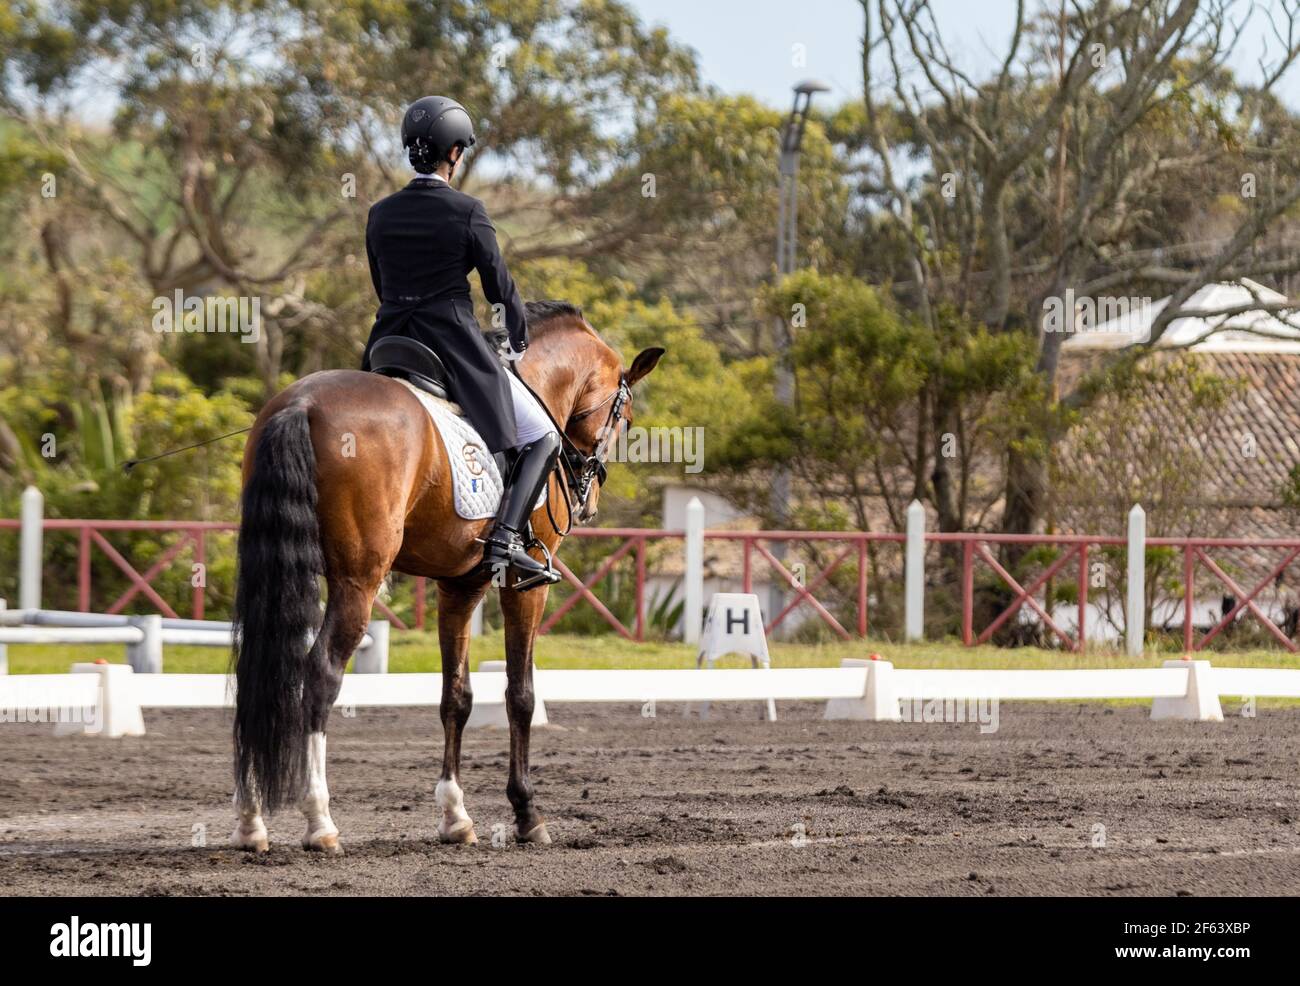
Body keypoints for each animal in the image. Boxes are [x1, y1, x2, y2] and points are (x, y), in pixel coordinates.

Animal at [229, 300, 663, 853]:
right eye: (624, 418)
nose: (588, 500)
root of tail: (300, 404)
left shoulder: (460, 584)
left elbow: (456, 697)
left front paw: (456, 816)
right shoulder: (521, 588)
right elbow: (520, 695)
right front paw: (527, 814)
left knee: (259, 670)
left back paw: (251, 822)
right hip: (358, 581)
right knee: (319, 674)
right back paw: (320, 823)